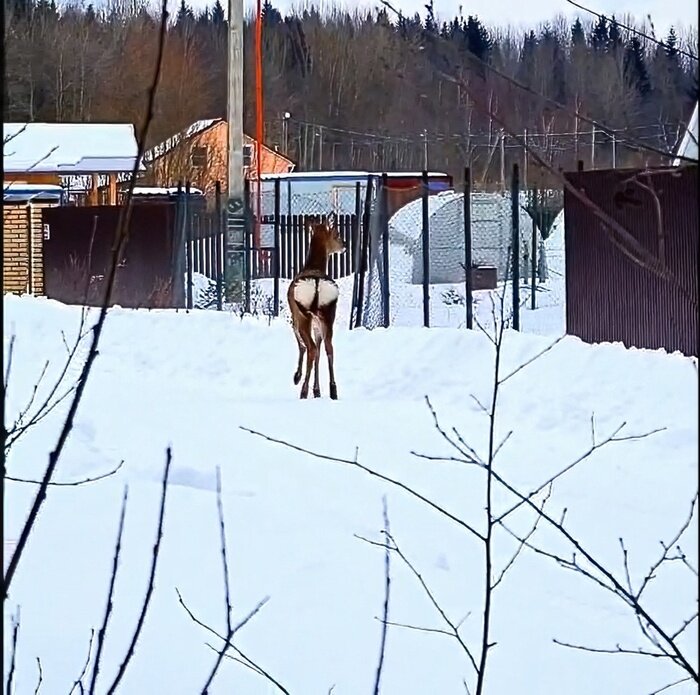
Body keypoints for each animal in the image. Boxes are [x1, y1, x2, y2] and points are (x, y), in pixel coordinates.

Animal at [288, 218, 346, 402]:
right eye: (337, 234)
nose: (344, 245)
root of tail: (316, 282)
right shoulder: (318, 323)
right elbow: (320, 351)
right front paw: (318, 390)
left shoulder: (294, 316)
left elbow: (302, 345)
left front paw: (297, 377)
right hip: (328, 313)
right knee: (328, 348)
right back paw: (333, 390)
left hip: (304, 315)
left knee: (311, 348)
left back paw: (303, 390)